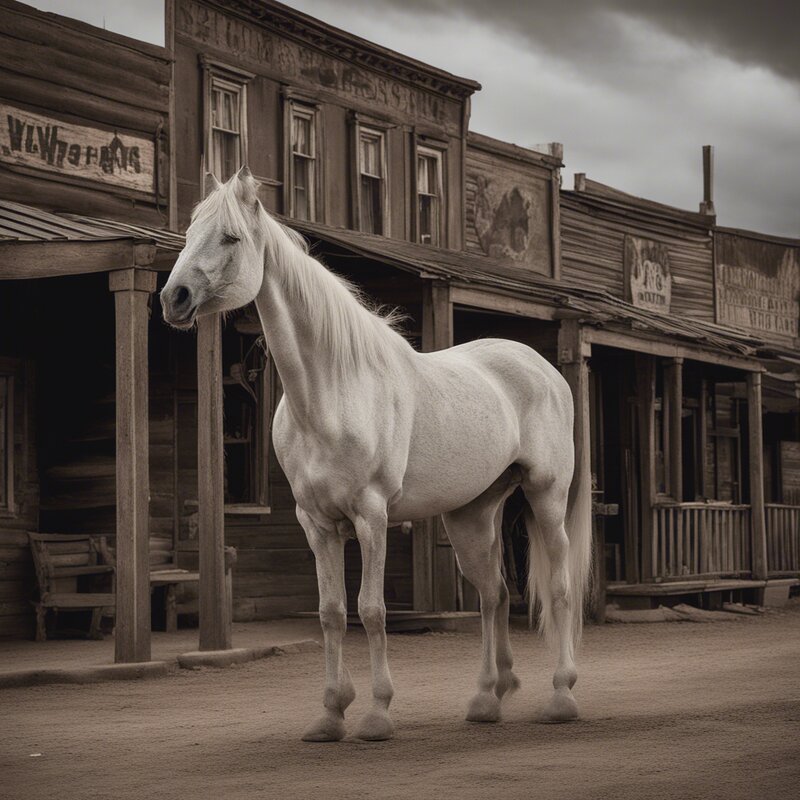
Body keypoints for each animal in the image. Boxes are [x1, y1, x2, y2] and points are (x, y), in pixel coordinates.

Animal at [161, 166, 592, 742]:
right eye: (189, 233)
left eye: (230, 238)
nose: (174, 297)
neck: (333, 392)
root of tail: (542, 369)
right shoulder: (316, 523)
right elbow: (331, 612)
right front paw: (329, 714)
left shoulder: (372, 517)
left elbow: (371, 610)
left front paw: (377, 713)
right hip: (472, 514)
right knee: (494, 595)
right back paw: (487, 698)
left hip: (547, 497)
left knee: (560, 589)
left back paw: (562, 696)